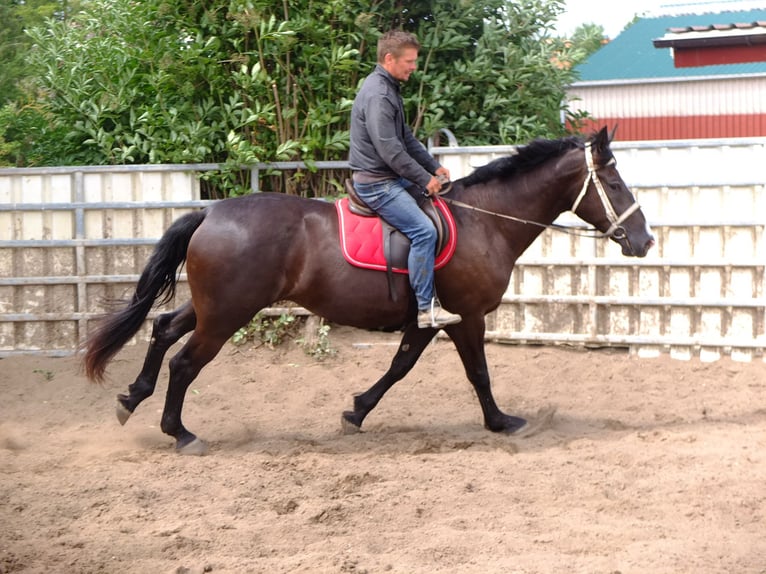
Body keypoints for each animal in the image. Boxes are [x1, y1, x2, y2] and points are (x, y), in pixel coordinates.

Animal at [85, 128, 660, 456]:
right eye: (613, 183)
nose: (644, 239)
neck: (484, 221)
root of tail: (210, 213)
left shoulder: (427, 321)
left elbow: (399, 367)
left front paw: (356, 412)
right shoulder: (467, 317)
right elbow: (478, 373)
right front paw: (502, 422)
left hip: (211, 307)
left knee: (163, 329)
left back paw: (131, 399)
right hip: (227, 314)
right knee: (185, 362)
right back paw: (179, 433)